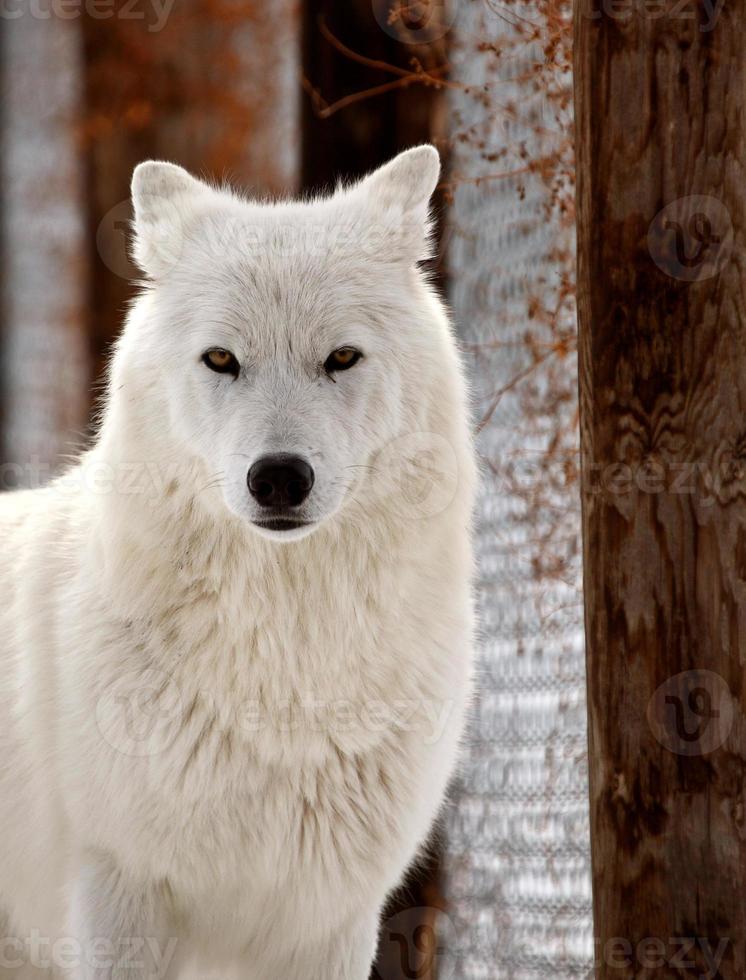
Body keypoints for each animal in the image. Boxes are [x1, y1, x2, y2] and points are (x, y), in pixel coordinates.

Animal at [0, 147, 474, 980]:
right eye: (222, 360)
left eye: (341, 358)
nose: (279, 477)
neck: (284, 671)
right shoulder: (121, 895)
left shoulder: (329, 922)